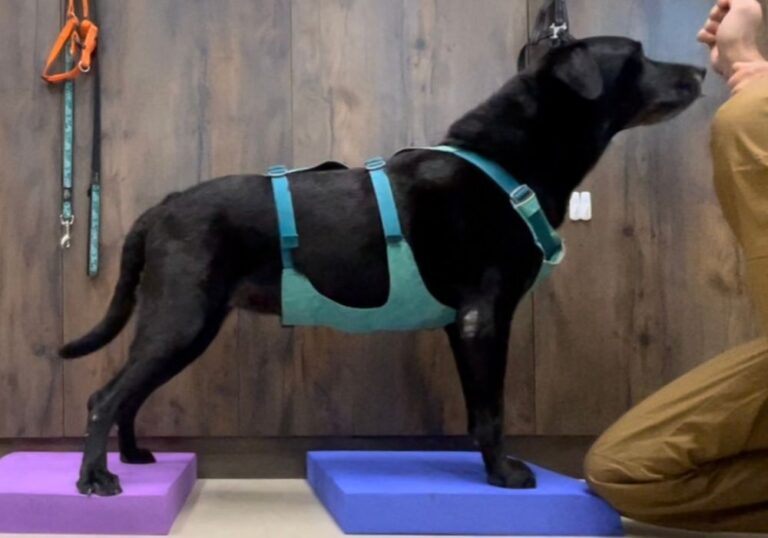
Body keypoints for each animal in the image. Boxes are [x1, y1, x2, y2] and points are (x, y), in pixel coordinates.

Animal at [61, 35, 704, 492]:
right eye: (639, 56)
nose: (700, 70)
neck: (507, 159)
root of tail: (161, 207)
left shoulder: (463, 324)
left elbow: (477, 410)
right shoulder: (485, 316)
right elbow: (492, 409)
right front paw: (505, 475)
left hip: (186, 326)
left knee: (128, 394)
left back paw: (134, 456)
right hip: (181, 318)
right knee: (105, 396)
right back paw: (95, 478)